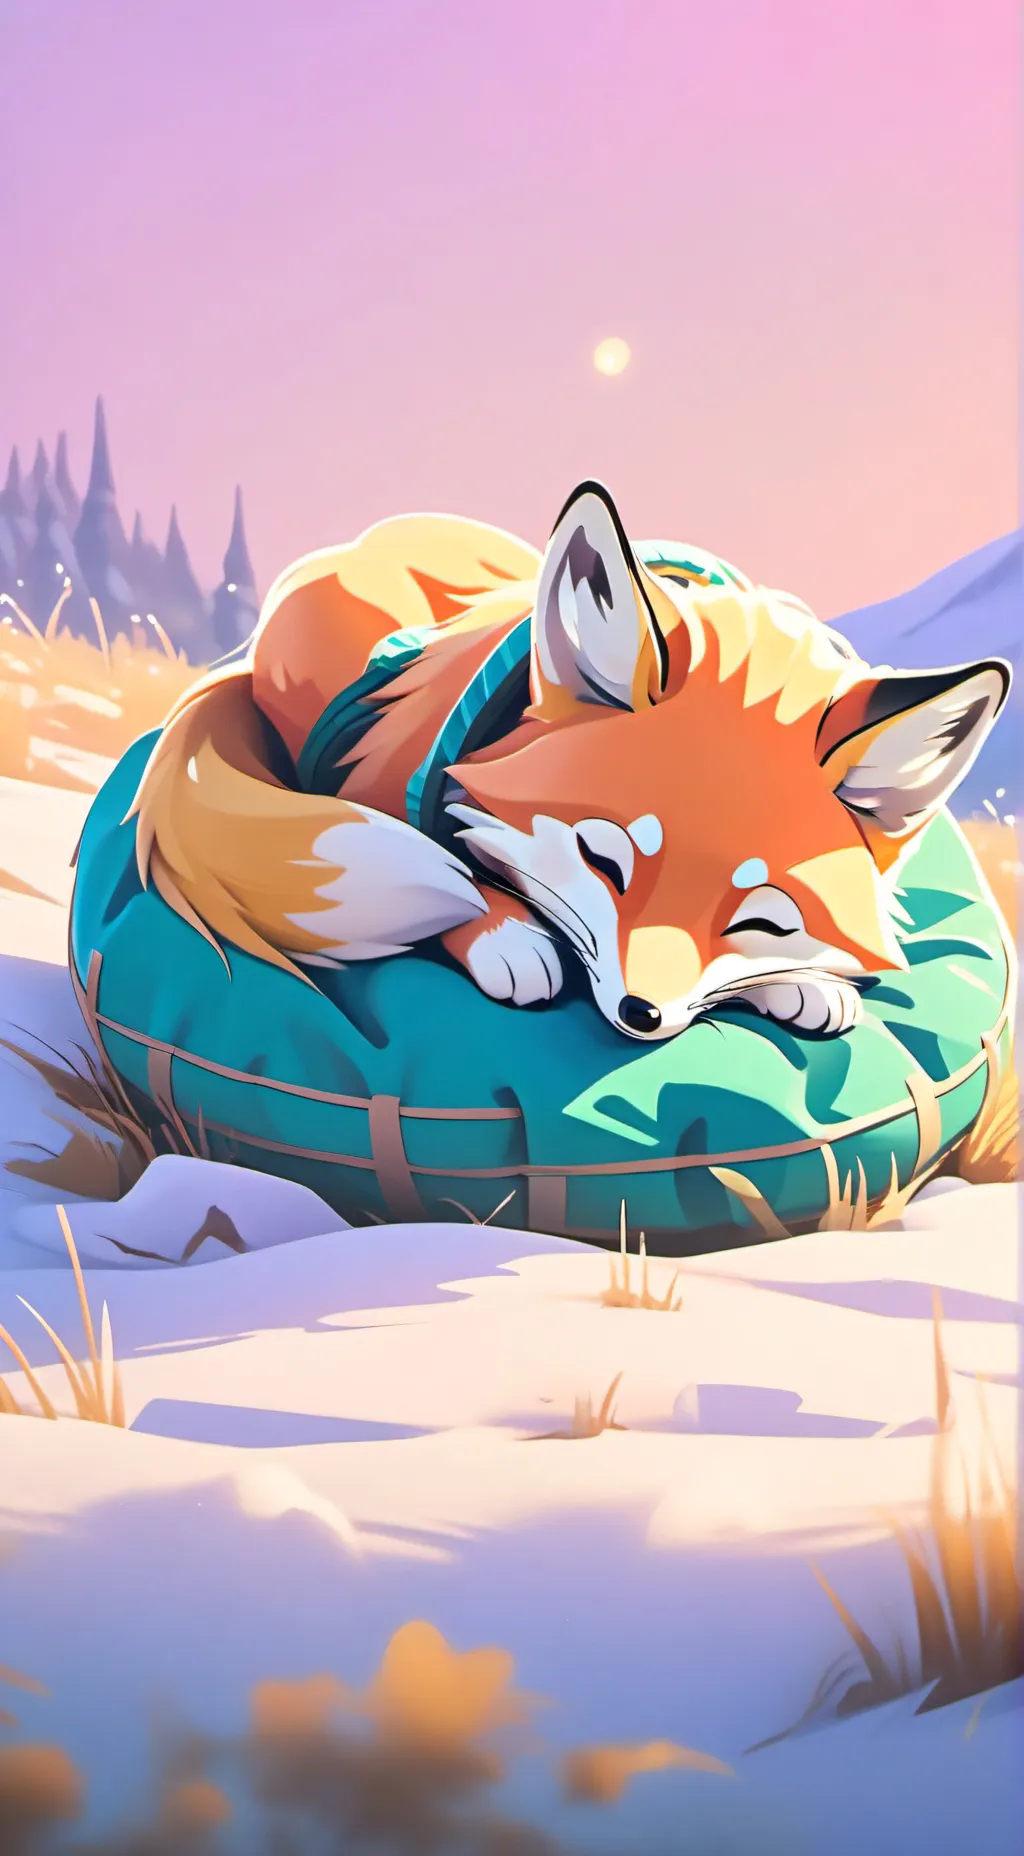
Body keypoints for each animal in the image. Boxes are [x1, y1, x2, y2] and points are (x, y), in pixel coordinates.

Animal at [128, 480, 1011, 1043]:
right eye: (603, 861)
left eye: (761, 919)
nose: (642, 1014)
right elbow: (457, 873)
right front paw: (502, 931)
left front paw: (806, 981)